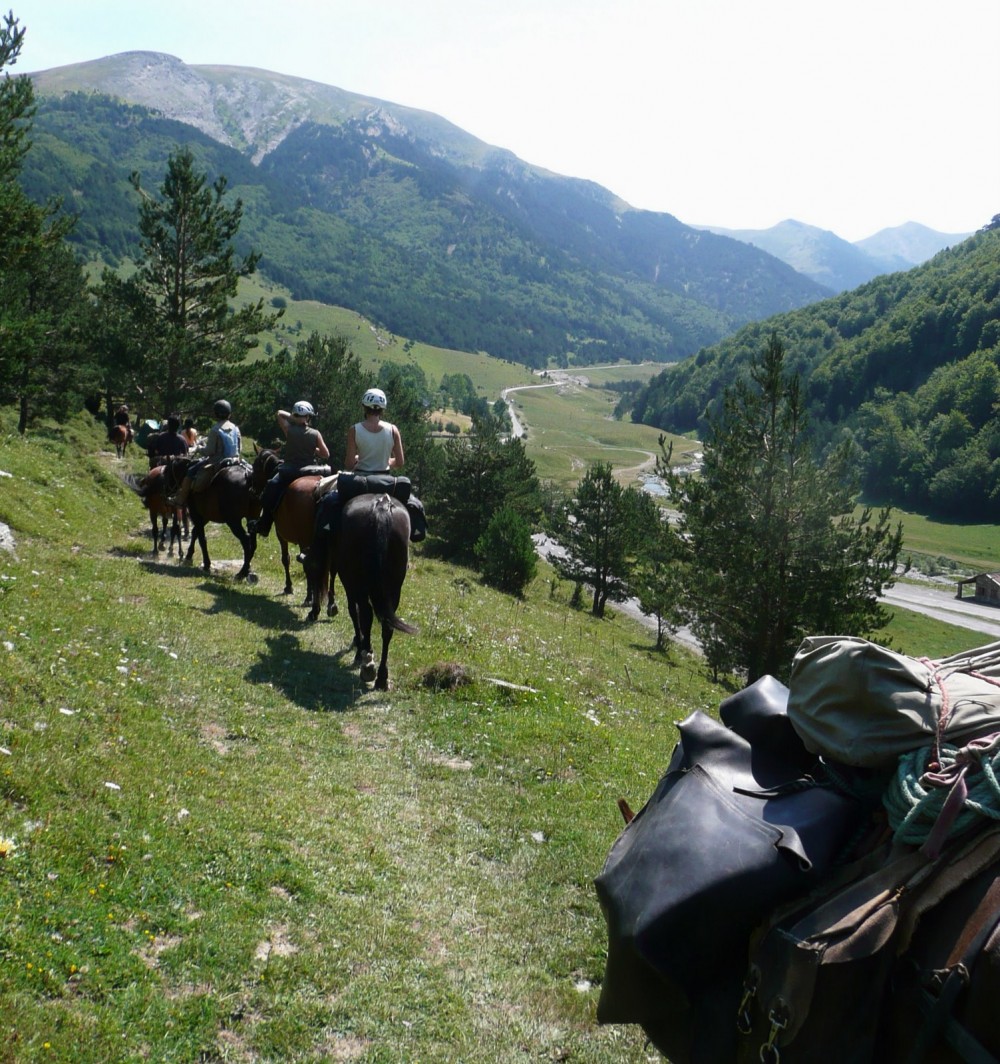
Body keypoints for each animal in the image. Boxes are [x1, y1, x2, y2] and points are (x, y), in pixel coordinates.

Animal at [248, 449, 336, 617]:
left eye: (255, 466)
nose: (252, 489)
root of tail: (319, 490)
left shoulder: (281, 535)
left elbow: (286, 559)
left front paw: (290, 587)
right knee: (328, 568)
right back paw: (330, 605)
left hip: (306, 540)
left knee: (311, 565)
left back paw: (312, 602)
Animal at [334, 491, 417, 689]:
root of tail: (382, 505)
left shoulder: (350, 586)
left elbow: (354, 613)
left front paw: (359, 649)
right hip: (393, 589)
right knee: (387, 626)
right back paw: (381, 677)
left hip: (358, 584)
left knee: (366, 614)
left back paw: (367, 665)